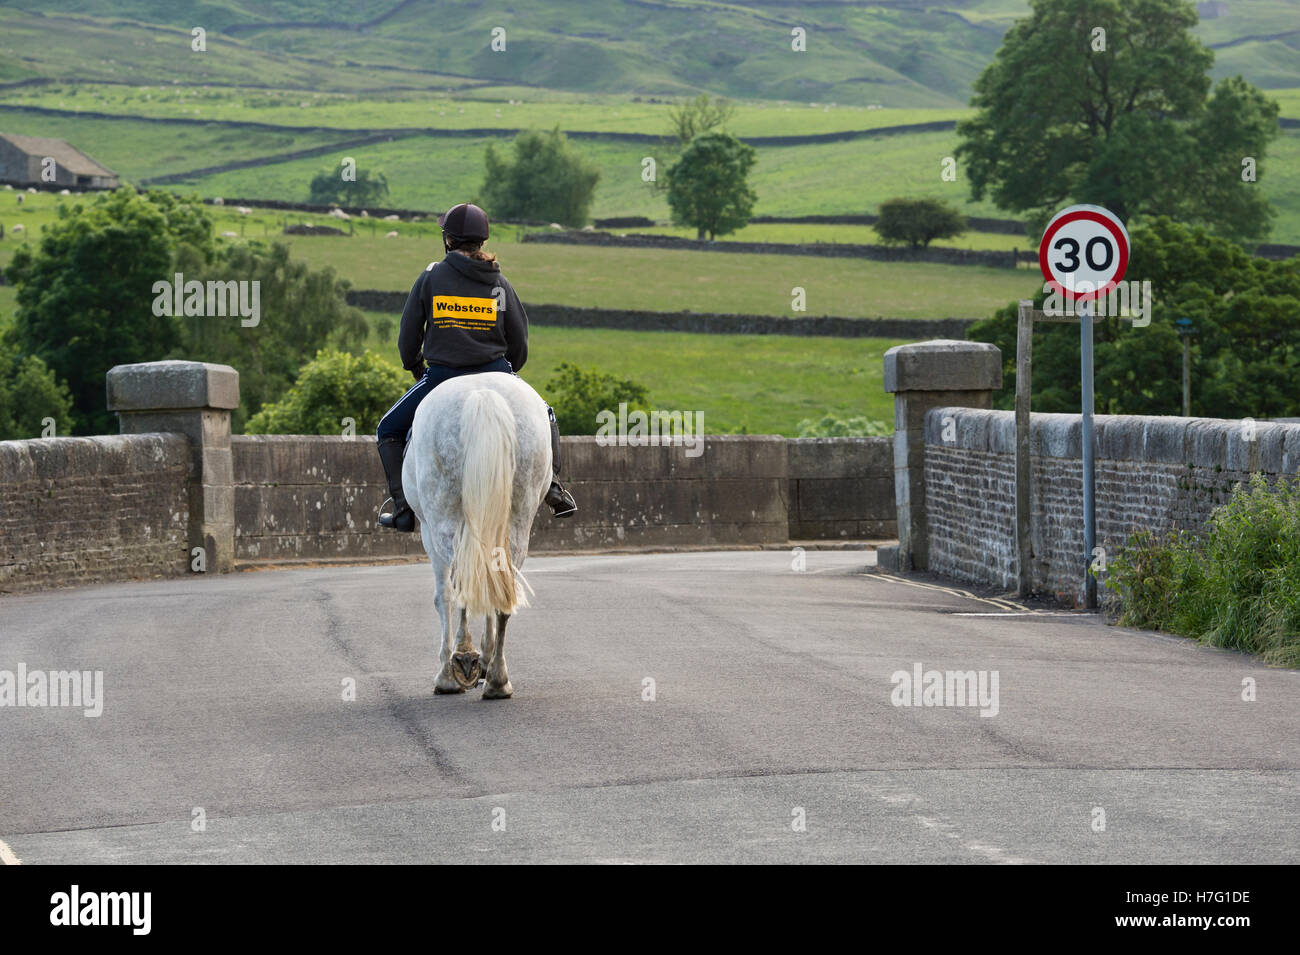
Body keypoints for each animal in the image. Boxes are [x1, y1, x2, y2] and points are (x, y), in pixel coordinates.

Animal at [403, 369, 551, 696]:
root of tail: (482, 395)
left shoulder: (428, 534)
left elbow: (443, 596)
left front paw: (448, 673)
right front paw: (485, 657)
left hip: (443, 521)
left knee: (460, 583)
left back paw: (461, 660)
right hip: (519, 517)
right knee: (503, 586)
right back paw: (497, 678)